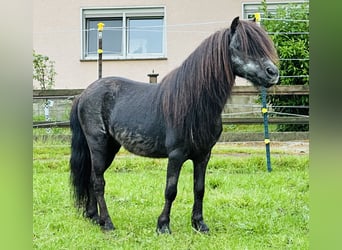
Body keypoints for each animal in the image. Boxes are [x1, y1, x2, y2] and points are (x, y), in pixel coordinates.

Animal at [69, 16, 278, 233]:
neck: (195, 104)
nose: (273, 73)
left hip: (110, 147)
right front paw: (163, 226)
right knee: (98, 181)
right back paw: (108, 223)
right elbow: (171, 190)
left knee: (91, 178)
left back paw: (94, 217)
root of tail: (84, 94)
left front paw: (199, 224)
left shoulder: (203, 156)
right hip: (98, 145)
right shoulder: (176, 155)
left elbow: (199, 189)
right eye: (240, 46)